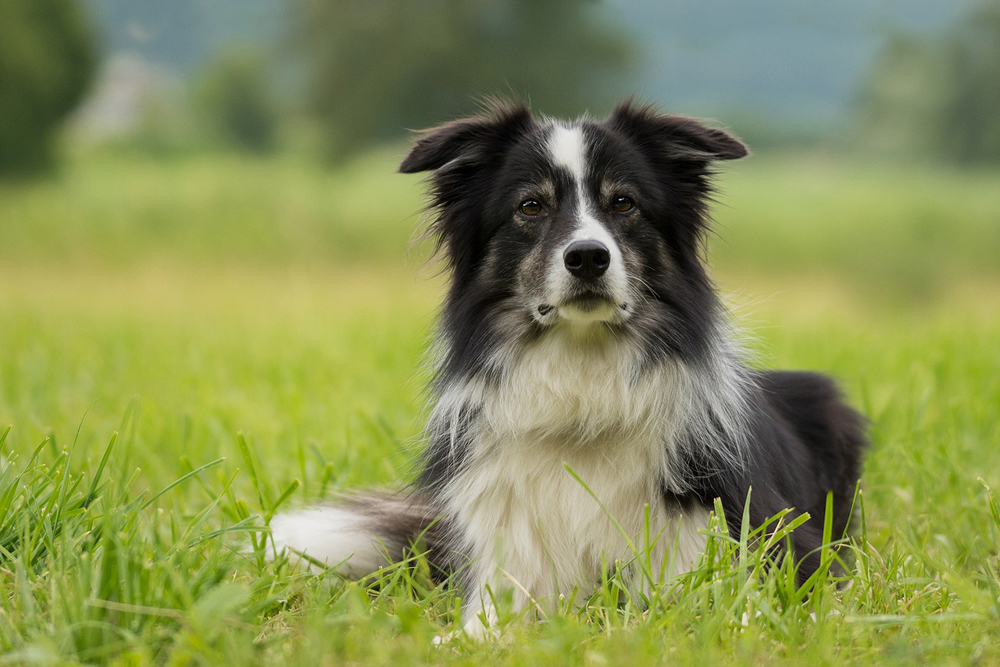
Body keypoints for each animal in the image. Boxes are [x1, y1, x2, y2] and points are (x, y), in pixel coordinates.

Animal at [274, 99, 868, 636]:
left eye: (624, 203)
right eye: (531, 206)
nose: (587, 257)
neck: (583, 390)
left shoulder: (741, 547)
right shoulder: (508, 566)